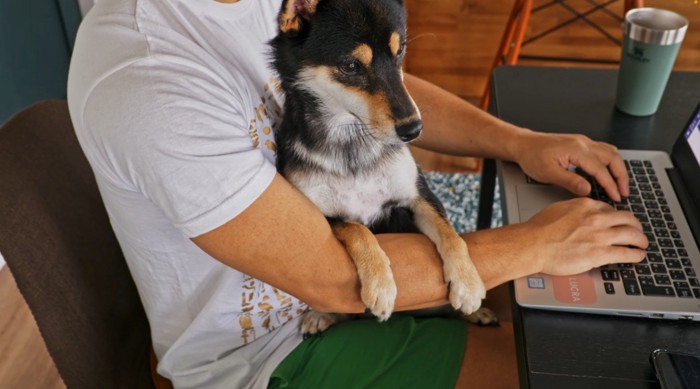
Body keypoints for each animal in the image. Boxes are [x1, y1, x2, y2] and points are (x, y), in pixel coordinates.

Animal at [270, 0, 494, 334]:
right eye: (351, 66)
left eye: (400, 51)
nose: (414, 129)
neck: (352, 142)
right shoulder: (324, 216)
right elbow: (358, 228)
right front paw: (380, 284)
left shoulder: (417, 196)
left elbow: (450, 232)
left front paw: (467, 284)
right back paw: (322, 315)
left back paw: (477, 314)